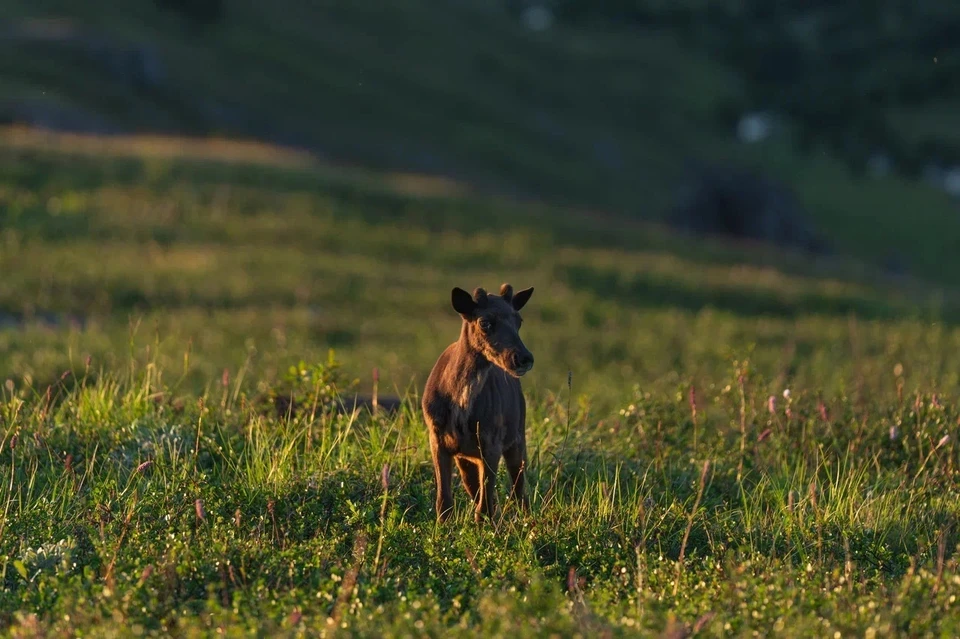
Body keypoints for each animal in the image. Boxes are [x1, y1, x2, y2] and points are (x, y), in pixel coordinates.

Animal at [422, 282, 536, 524]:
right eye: (485, 322)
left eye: (519, 320)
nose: (523, 358)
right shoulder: (436, 438)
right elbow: (444, 501)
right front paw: (442, 529)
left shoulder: (492, 441)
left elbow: (485, 504)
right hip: (467, 457)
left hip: (517, 437)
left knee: (518, 490)